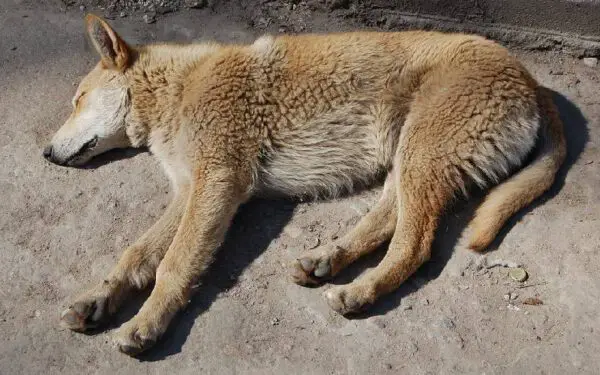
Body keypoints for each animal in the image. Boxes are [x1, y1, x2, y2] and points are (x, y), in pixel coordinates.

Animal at [44, 13, 564, 356]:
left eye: (78, 99)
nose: (45, 153)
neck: (177, 88)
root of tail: (529, 77)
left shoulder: (216, 183)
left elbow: (174, 264)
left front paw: (147, 322)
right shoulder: (189, 190)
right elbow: (136, 255)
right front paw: (97, 299)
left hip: (422, 155)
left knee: (414, 244)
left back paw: (361, 291)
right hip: (409, 158)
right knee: (388, 219)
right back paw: (328, 258)